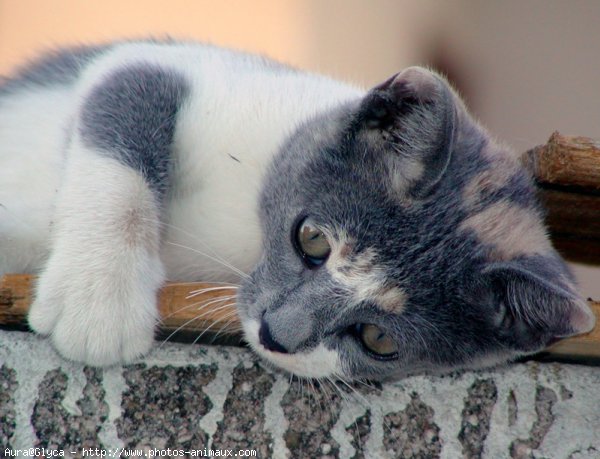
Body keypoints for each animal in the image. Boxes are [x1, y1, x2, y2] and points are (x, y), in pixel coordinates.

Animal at [0, 42, 596, 380]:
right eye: (311, 239)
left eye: (378, 339)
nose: (276, 335)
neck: (246, 238)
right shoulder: (173, 66)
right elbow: (125, 101)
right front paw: (99, 301)